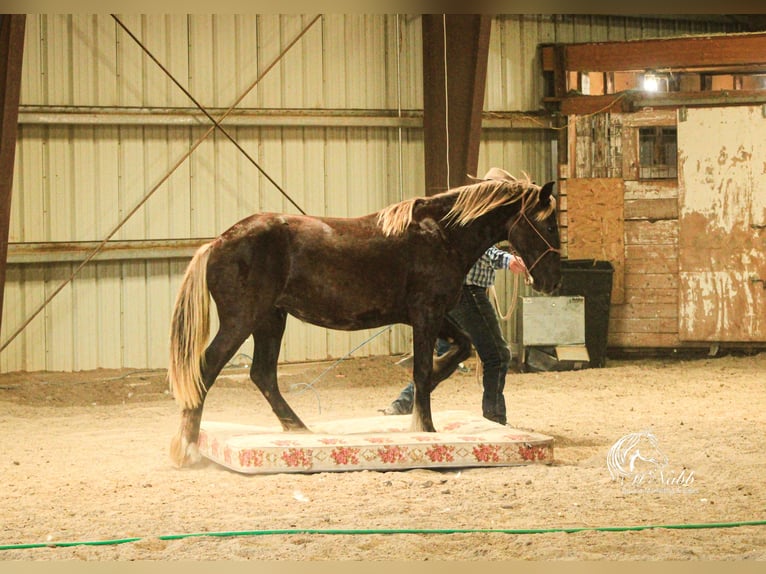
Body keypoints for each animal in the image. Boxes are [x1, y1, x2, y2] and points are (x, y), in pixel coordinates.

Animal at [170, 166, 564, 468]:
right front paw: (425, 427)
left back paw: (299, 430)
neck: (442, 234)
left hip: (270, 320)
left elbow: (458, 350)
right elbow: (422, 369)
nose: (552, 281)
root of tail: (217, 243)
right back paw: (187, 448)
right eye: (548, 226)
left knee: (262, 375)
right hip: (243, 321)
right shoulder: (426, 314)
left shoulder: (433, 316)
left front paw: (418, 401)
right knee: (207, 369)